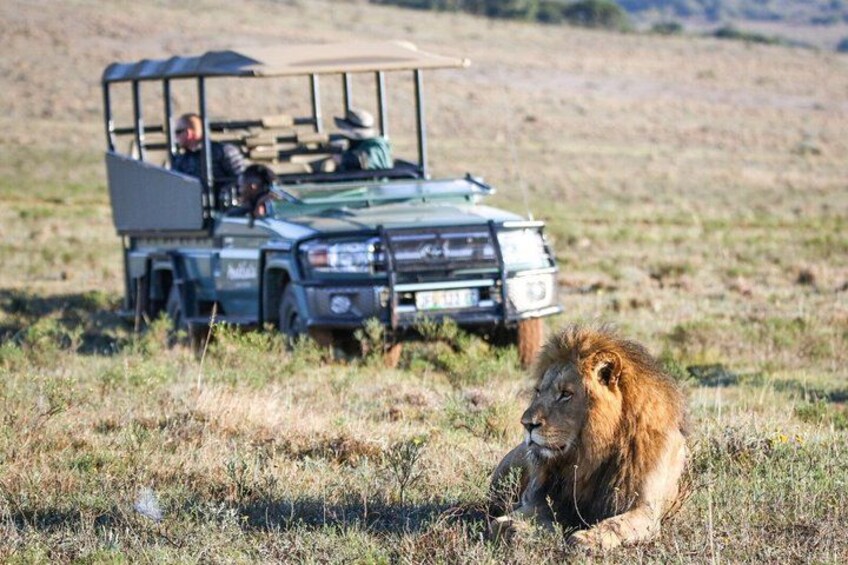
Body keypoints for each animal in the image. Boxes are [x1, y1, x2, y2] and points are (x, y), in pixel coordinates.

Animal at [489, 325, 687, 550]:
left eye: (566, 394)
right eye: (538, 391)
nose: (527, 424)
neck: (588, 455)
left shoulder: (645, 509)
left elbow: (614, 525)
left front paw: (586, 538)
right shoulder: (547, 498)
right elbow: (501, 522)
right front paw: (523, 528)